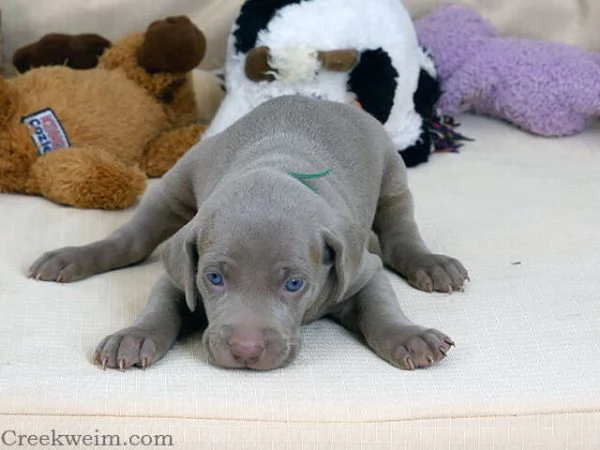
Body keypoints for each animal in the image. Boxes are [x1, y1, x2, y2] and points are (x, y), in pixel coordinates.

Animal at [28, 94, 468, 370]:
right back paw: (70, 257)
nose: (245, 349)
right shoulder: (181, 272)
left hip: (392, 175)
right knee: (131, 241)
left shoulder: (362, 271)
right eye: (214, 278)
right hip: (178, 181)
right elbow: (160, 307)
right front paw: (134, 336)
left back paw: (431, 264)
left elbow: (380, 309)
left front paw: (408, 337)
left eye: (294, 284)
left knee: (399, 233)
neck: (277, 168)